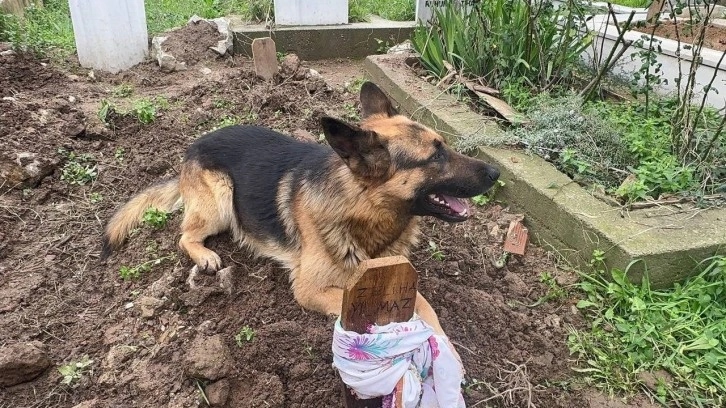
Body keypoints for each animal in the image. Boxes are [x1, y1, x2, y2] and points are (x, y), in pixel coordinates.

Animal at [102, 83, 500, 334]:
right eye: (435, 157)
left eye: (444, 146)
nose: (496, 172)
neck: (361, 207)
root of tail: (192, 147)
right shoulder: (310, 290)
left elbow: (426, 308)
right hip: (220, 201)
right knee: (184, 235)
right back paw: (205, 255)